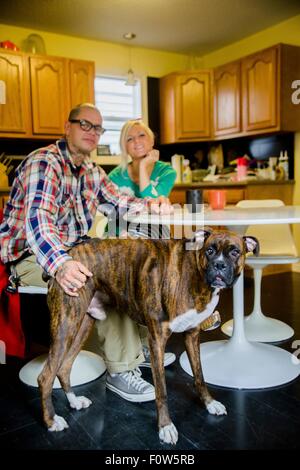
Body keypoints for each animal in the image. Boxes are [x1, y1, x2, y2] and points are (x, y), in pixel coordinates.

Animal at [37, 229, 258, 446]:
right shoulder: (157, 340)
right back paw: (52, 421)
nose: (219, 265)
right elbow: (162, 390)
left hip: (82, 325)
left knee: (64, 368)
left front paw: (210, 403)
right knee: (45, 376)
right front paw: (165, 427)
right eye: (210, 251)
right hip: (66, 326)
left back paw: (74, 401)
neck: (195, 273)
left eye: (235, 252)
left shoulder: (192, 336)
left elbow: (199, 376)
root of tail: (66, 258)